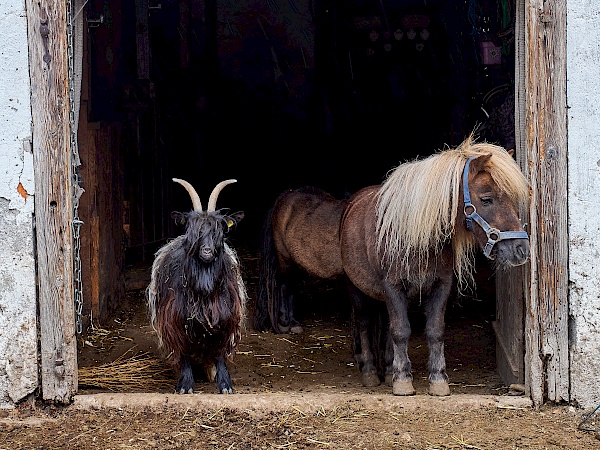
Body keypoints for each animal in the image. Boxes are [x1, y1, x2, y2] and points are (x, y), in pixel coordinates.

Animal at [146, 178, 246, 392]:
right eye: (193, 230)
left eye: (219, 230)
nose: (207, 250)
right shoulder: (175, 319)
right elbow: (183, 351)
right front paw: (185, 384)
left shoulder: (226, 317)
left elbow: (219, 351)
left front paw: (225, 383)